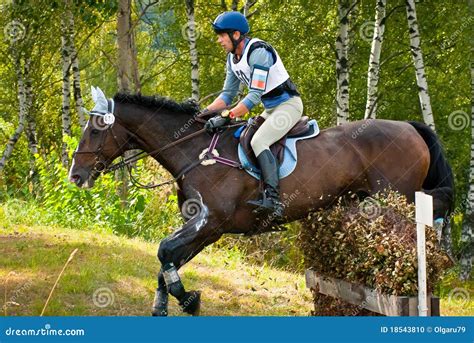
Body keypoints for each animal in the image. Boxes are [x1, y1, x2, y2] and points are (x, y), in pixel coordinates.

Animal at [68, 88, 454, 318]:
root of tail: (409, 126)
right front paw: (169, 301)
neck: (195, 151)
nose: (75, 175)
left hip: (397, 201)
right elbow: (168, 257)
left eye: (96, 130)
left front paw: (185, 299)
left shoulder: (210, 222)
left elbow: (165, 250)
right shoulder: (208, 229)